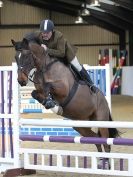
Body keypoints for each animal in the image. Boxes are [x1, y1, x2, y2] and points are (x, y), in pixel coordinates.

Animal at [11, 38, 119, 169]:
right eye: (16, 57)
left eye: (26, 56)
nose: (21, 80)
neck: (44, 67)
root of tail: (104, 100)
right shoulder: (39, 90)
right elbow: (34, 93)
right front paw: (52, 104)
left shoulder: (63, 88)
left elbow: (48, 86)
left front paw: (54, 105)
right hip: (81, 125)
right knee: (96, 139)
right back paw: (100, 162)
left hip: (101, 121)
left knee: (106, 142)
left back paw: (107, 164)